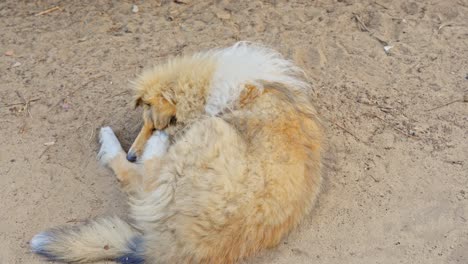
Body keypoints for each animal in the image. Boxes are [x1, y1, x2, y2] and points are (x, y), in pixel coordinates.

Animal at [31, 42, 324, 262]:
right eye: (144, 122)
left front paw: (152, 142)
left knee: (138, 181)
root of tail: (186, 245)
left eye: (155, 124)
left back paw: (117, 142)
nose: (133, 155)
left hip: (207, 134)